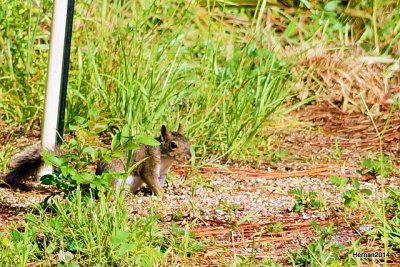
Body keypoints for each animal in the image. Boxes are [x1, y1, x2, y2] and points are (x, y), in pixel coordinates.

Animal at [2, 124, 191, 196]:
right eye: (173, 145)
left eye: (189, 142)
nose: (189, 157)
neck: (165, 157)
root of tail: (97, 178)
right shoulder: (150, 163)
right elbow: (149, 177)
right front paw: (161, 194)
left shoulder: (163, 172)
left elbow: (159, 181)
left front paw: (162, 191)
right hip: (115, 175)